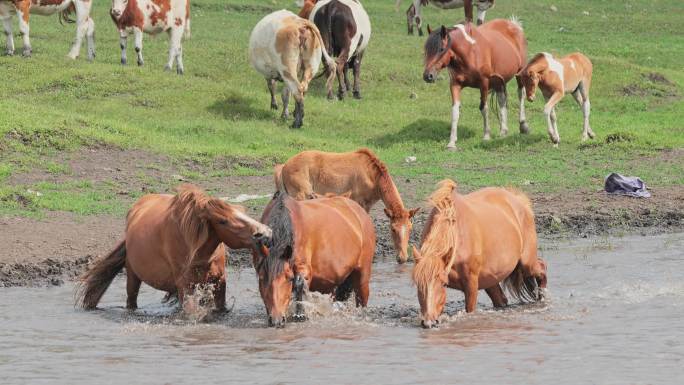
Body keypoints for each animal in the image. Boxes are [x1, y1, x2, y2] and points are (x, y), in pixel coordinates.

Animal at [77, 183, 272, 312]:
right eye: (223, 221)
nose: (265, 232)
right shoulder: (186, 287)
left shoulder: (219, 283)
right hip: (132, 276)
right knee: (131, 300)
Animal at [254, 190, 376, 326]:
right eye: (261, 279)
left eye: (289, 278)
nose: (276, 320)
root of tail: (359, 211)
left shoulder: (303, 267)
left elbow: (300, 283)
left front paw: (300, 314)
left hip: (362, 275)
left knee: (362, 298)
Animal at [408, 179, 548, 328]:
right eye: (418, 284)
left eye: (443, 283)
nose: (428, 322)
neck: (457, 233)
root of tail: (519, 201)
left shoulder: (471, 283)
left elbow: (470, 310)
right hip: (491, 278)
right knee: (501, 300)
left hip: (527, 263)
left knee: (542, 267)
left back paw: (543, 298)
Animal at [422, 19, 528, 148]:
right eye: (426, 50)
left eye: (441, 49)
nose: (428, 76)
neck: (469, 51)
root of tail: (514, 25)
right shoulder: (455, 84)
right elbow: (455, 111)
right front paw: (451, 142)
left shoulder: (484, 83)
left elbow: (484, 108)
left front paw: (486, 136)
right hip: (498, 81)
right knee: (502, 100)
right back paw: (503, 131)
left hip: (520, 73)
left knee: (521, 95)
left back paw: (523, 125)